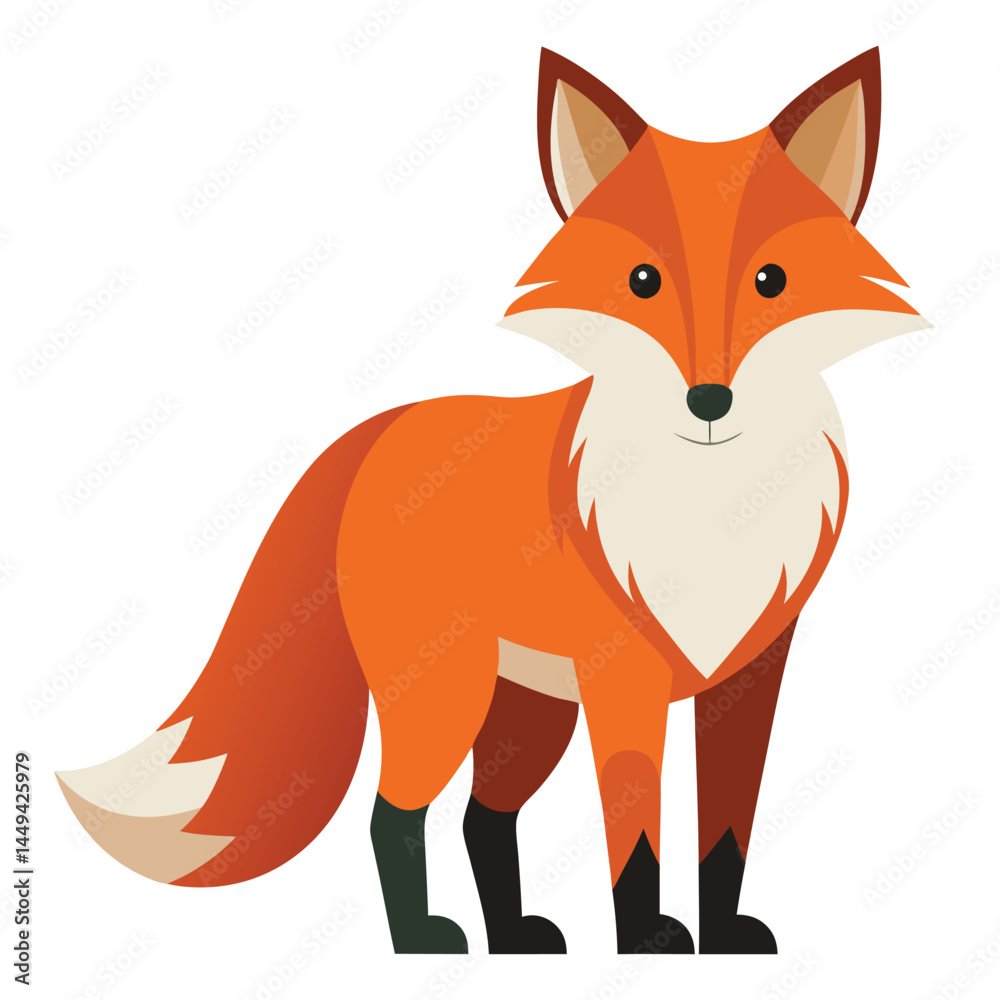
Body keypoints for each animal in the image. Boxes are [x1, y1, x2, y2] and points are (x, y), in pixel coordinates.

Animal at [58, 47, 927, 955]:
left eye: (772, 281)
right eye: (642, 281)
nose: (709, 400)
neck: (709, 509)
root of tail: (382, 431)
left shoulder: (752, 672)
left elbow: (726, 831)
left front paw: (718, 941)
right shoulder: (624, 679)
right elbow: (637, 842)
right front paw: (646, 944)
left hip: (528, 712)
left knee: (484, 815)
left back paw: (511, 937)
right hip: (445, 695)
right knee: (393, 813)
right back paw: (421, 942)